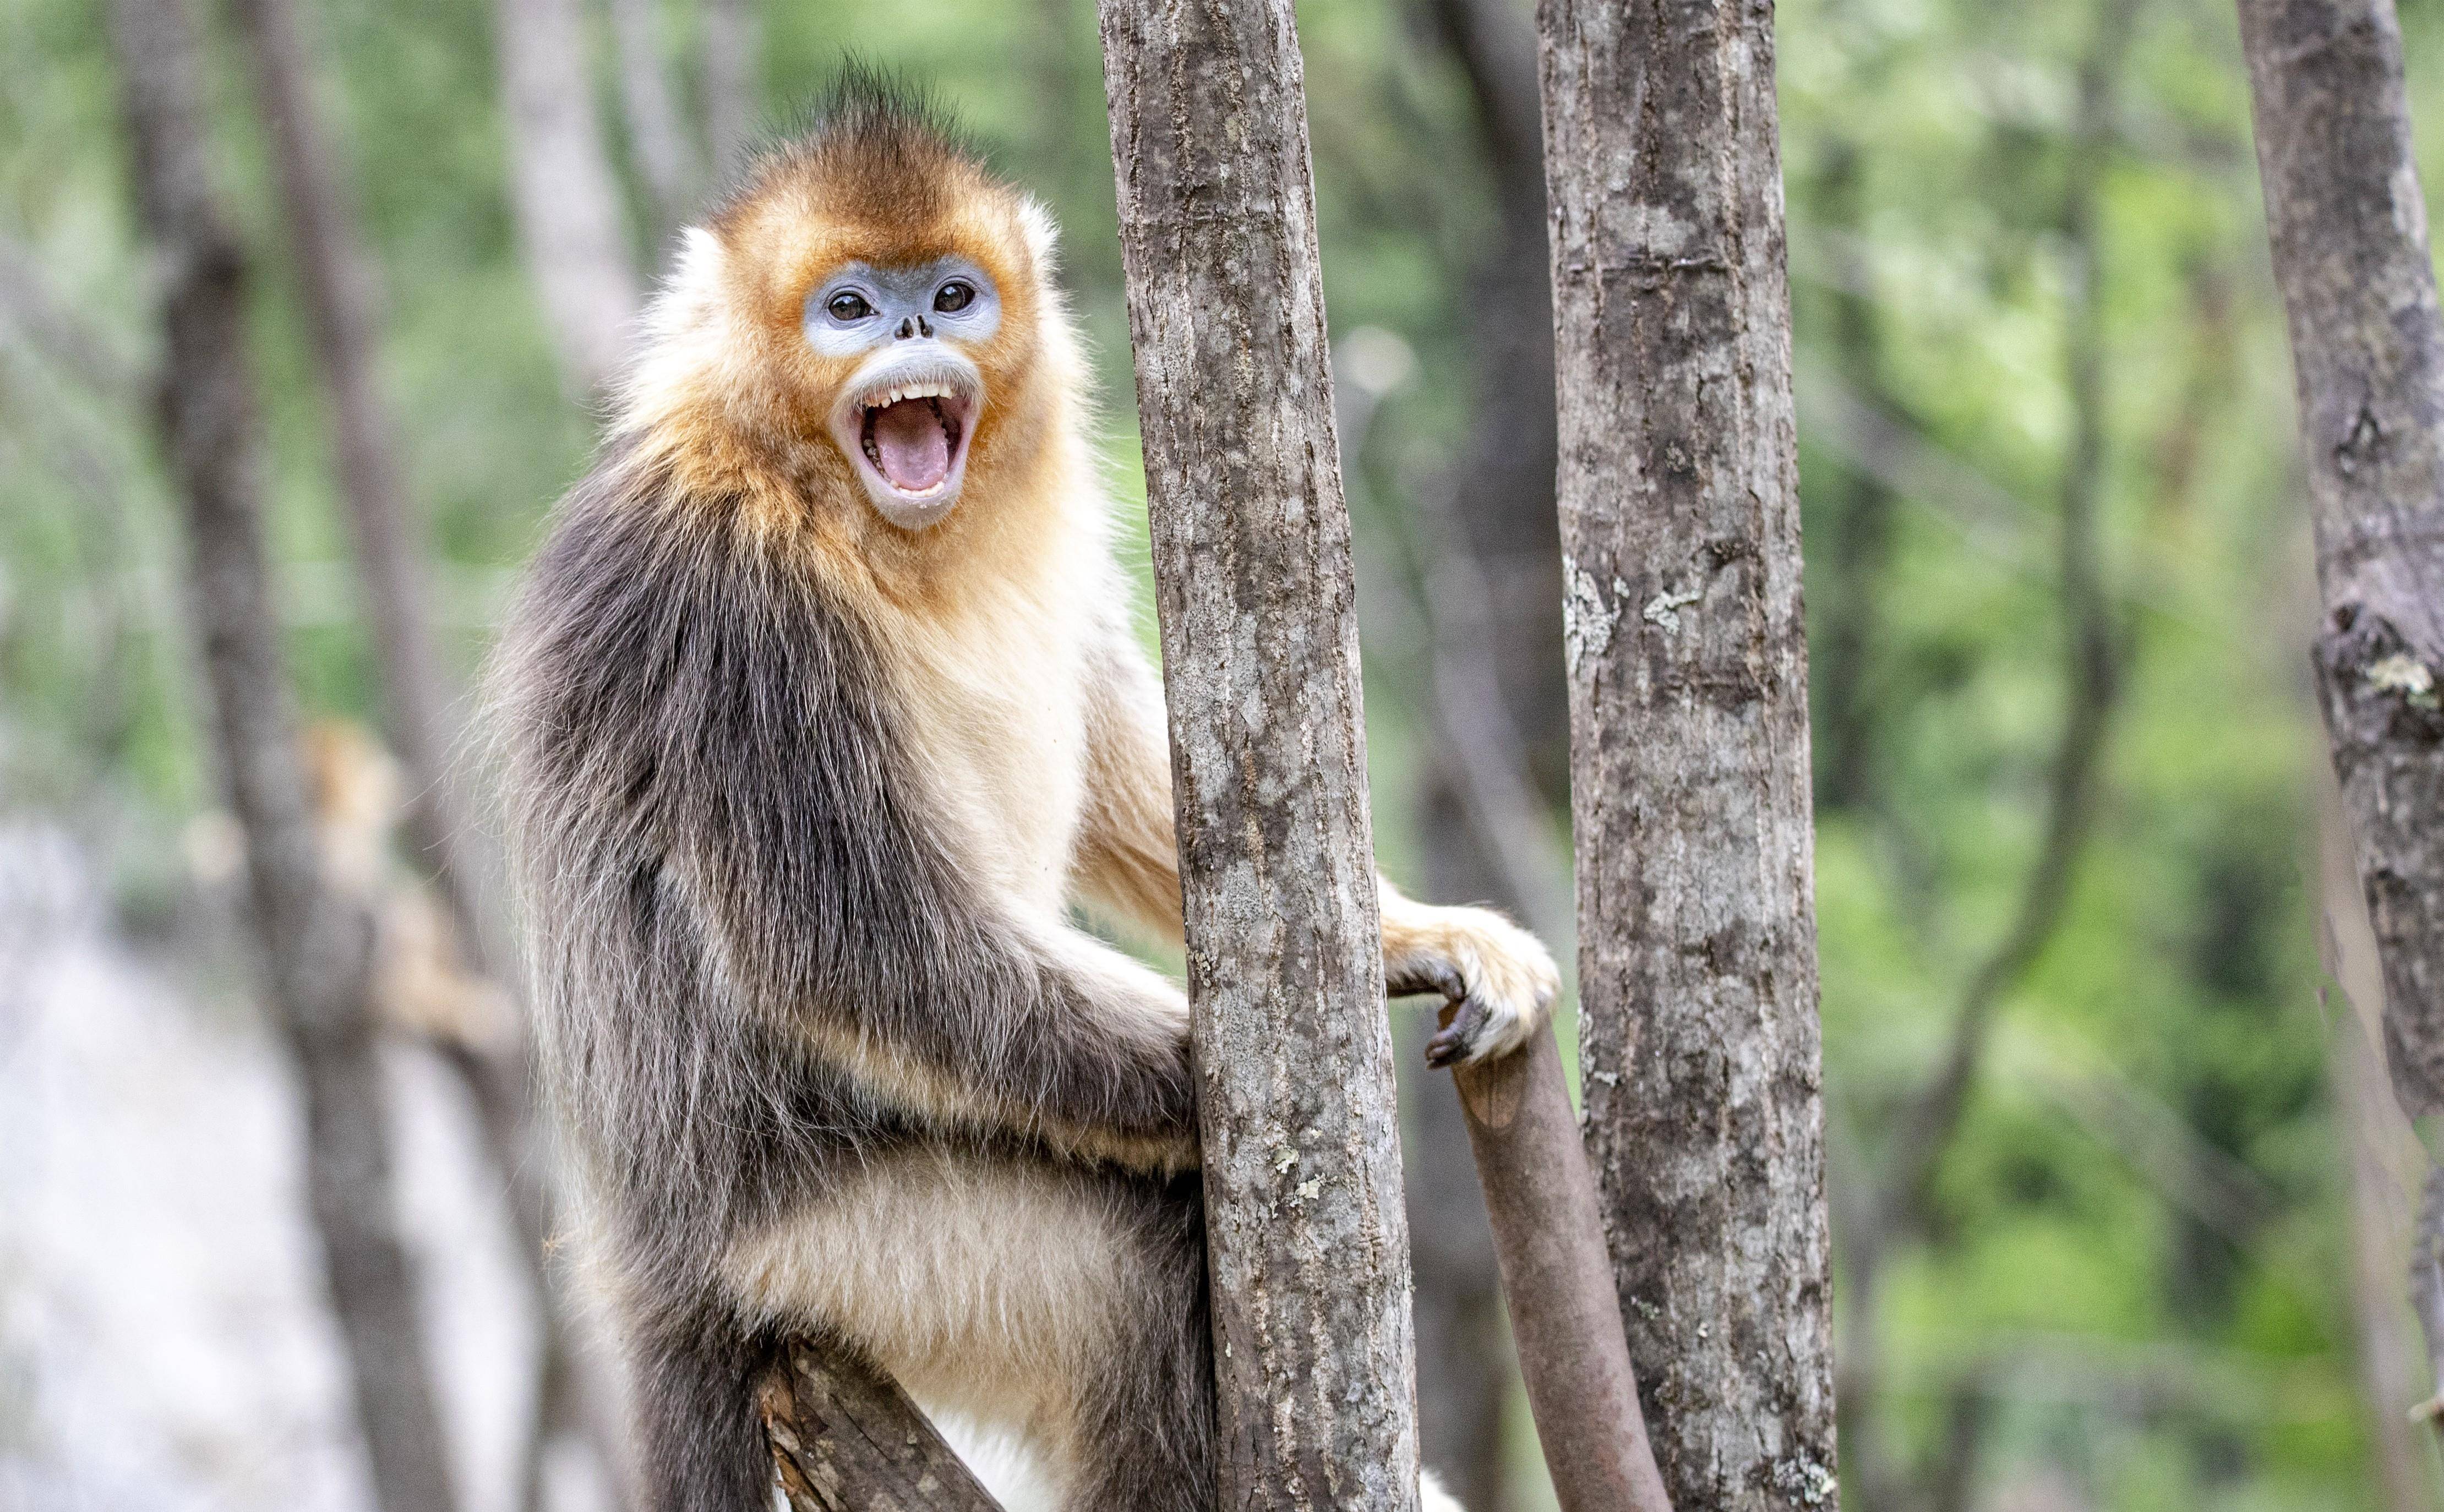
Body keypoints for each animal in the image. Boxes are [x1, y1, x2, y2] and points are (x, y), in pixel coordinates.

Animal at [493, 80, 1554, 1512]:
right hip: (853, 1246)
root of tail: (657, 1279)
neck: (844, 510)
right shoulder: (724, 605)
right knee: (1140, 1264)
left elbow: (1107, 744)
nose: (907, 330)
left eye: (952, 295)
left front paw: (1424, 934)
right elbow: (856, 946)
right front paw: (1209, 1086)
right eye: (846, 308)